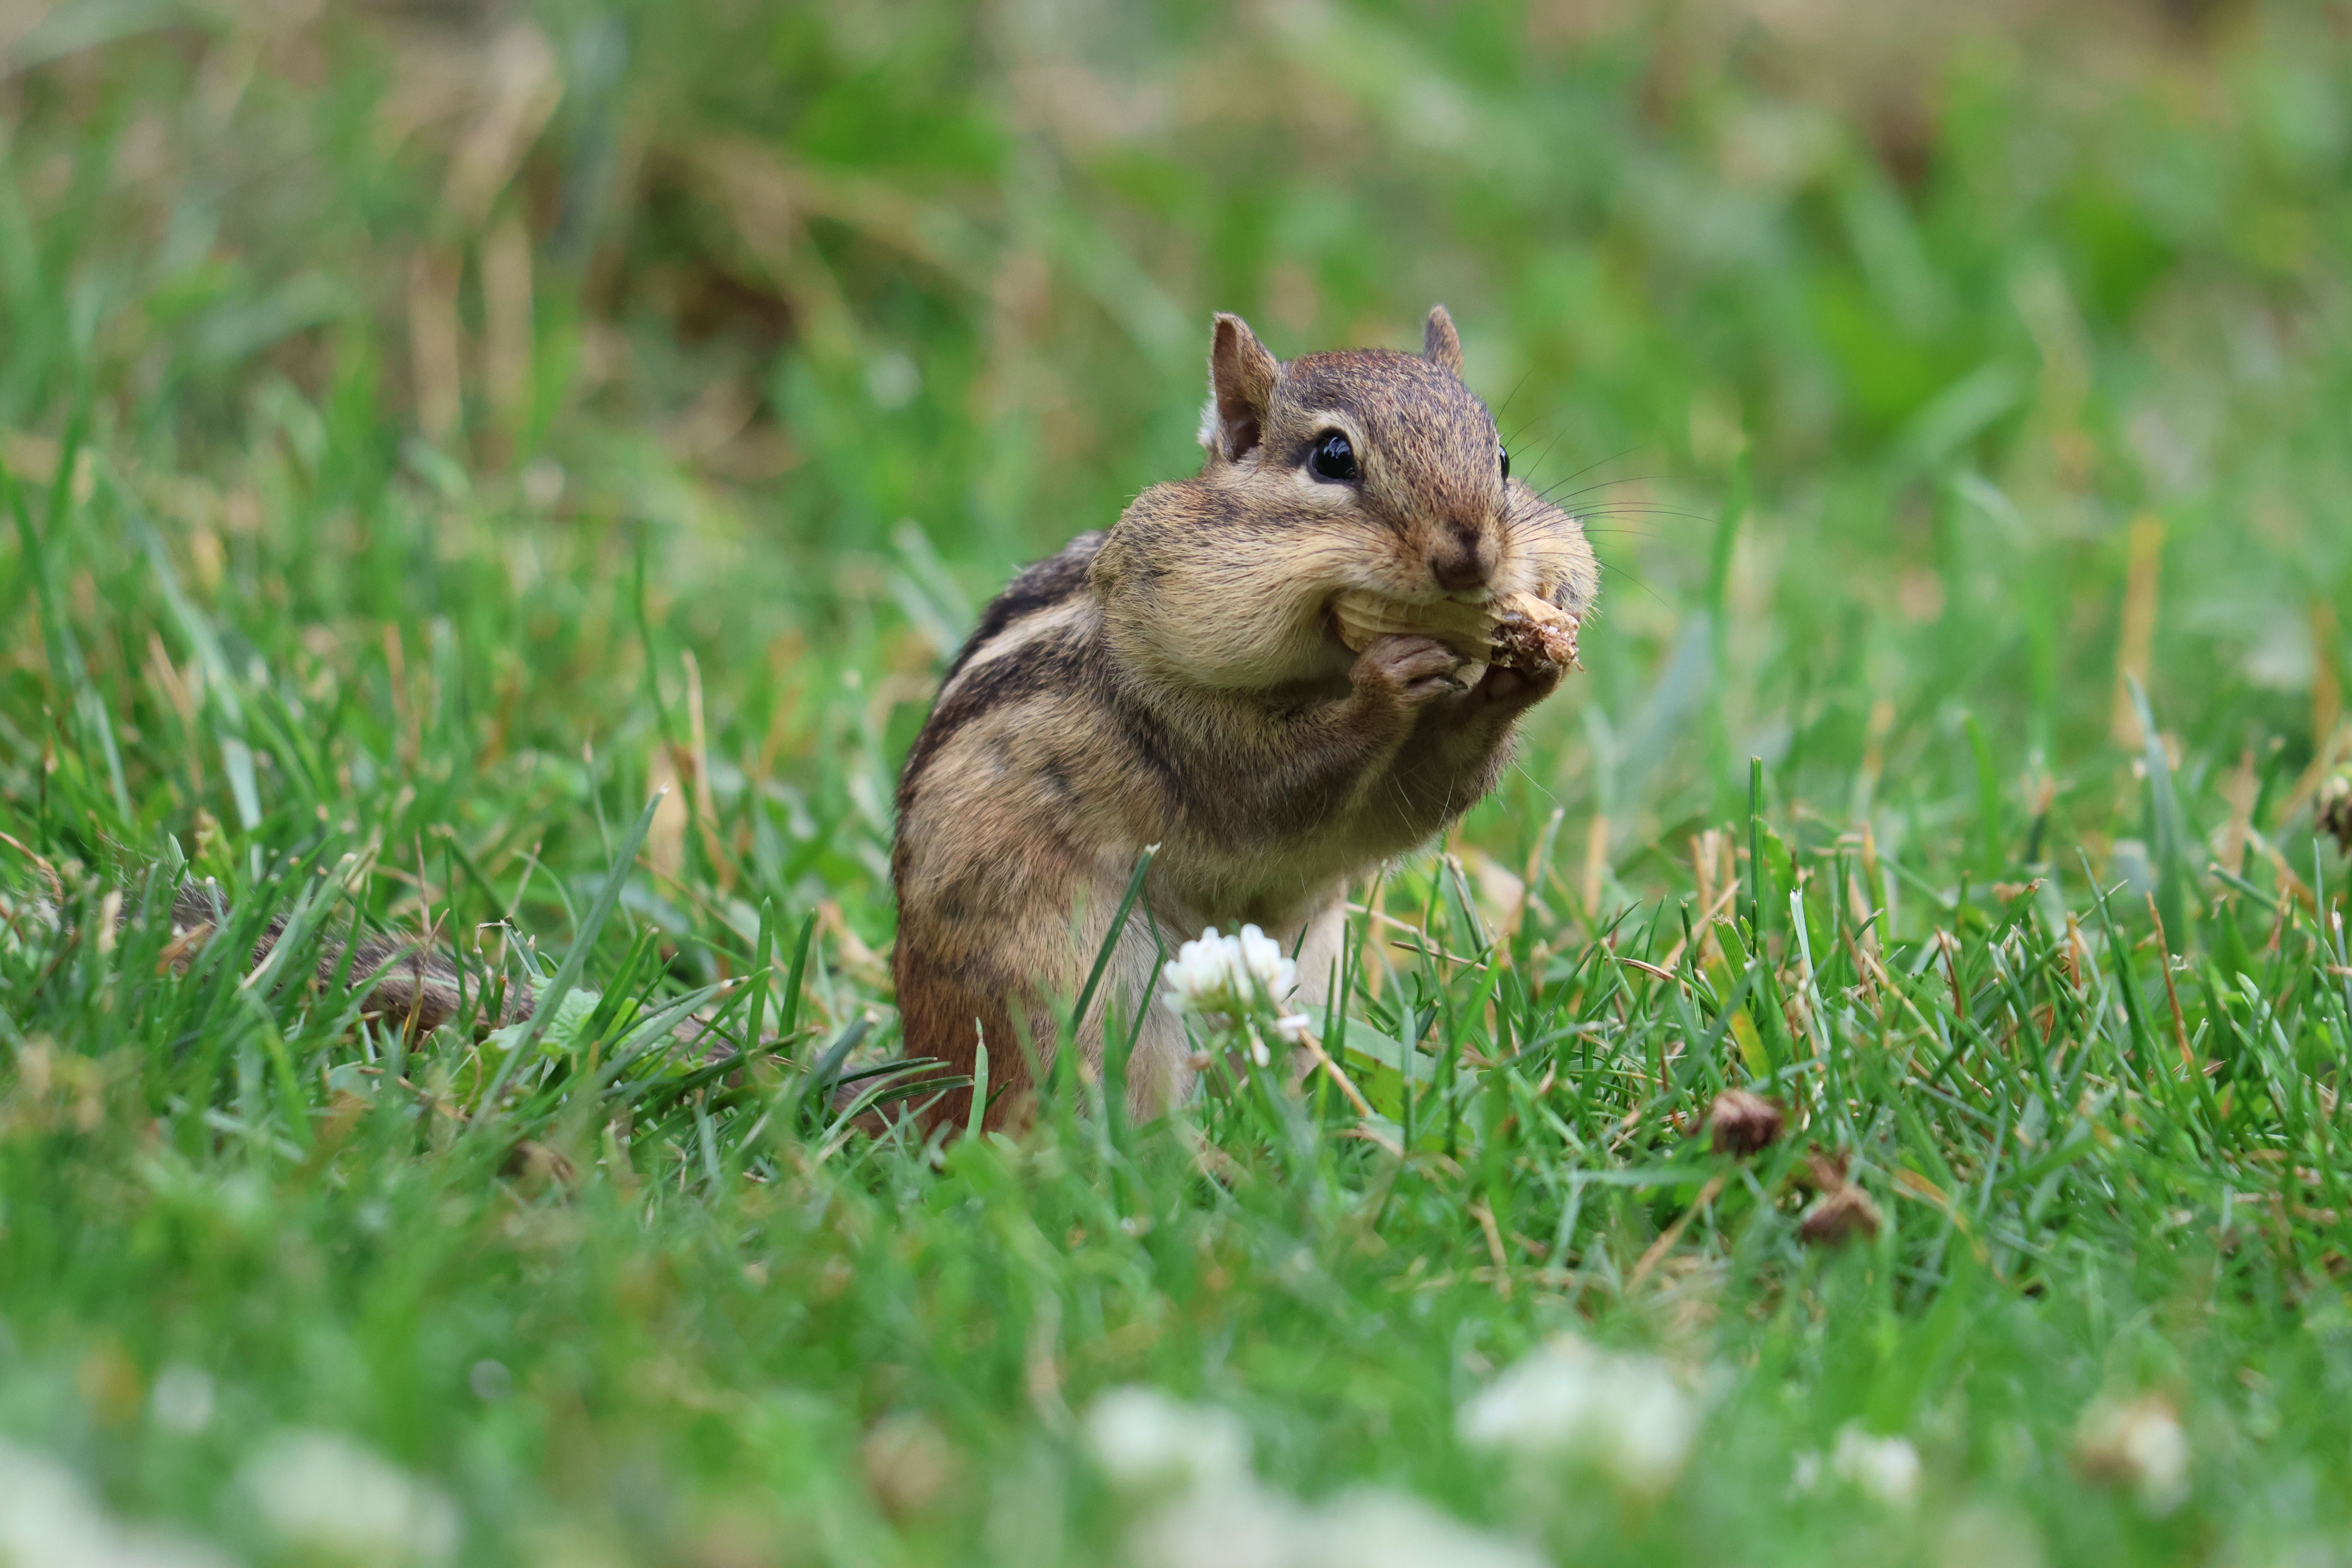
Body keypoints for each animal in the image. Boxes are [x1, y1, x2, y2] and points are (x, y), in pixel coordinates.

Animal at [892, 307, 1599, 1132]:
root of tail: (920, 1076)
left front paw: (1526, 668)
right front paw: (1386, 686)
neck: (1322, 671)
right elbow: (1273, 786)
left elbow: (1418, 794)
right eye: (1333, 457)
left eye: (1504, 458)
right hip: (1067, 986)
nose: (1470, 560)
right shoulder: (1179, 732)